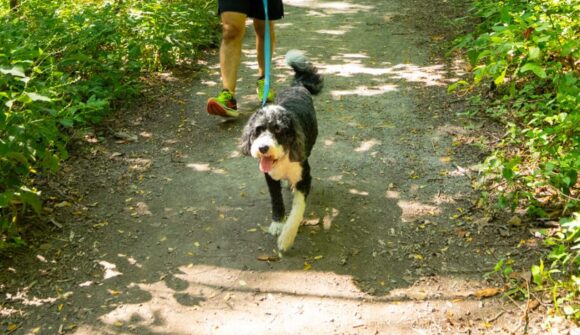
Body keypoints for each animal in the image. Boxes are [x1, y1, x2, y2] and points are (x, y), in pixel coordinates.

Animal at [239, 50, 324, 252]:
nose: (263, 148)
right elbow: (276, 199)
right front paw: (278, 224)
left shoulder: (304, 177)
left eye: (279, 130)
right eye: (258, 130)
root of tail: (297, 86)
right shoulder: (270, 176)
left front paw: (286, 238)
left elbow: (297, 210)